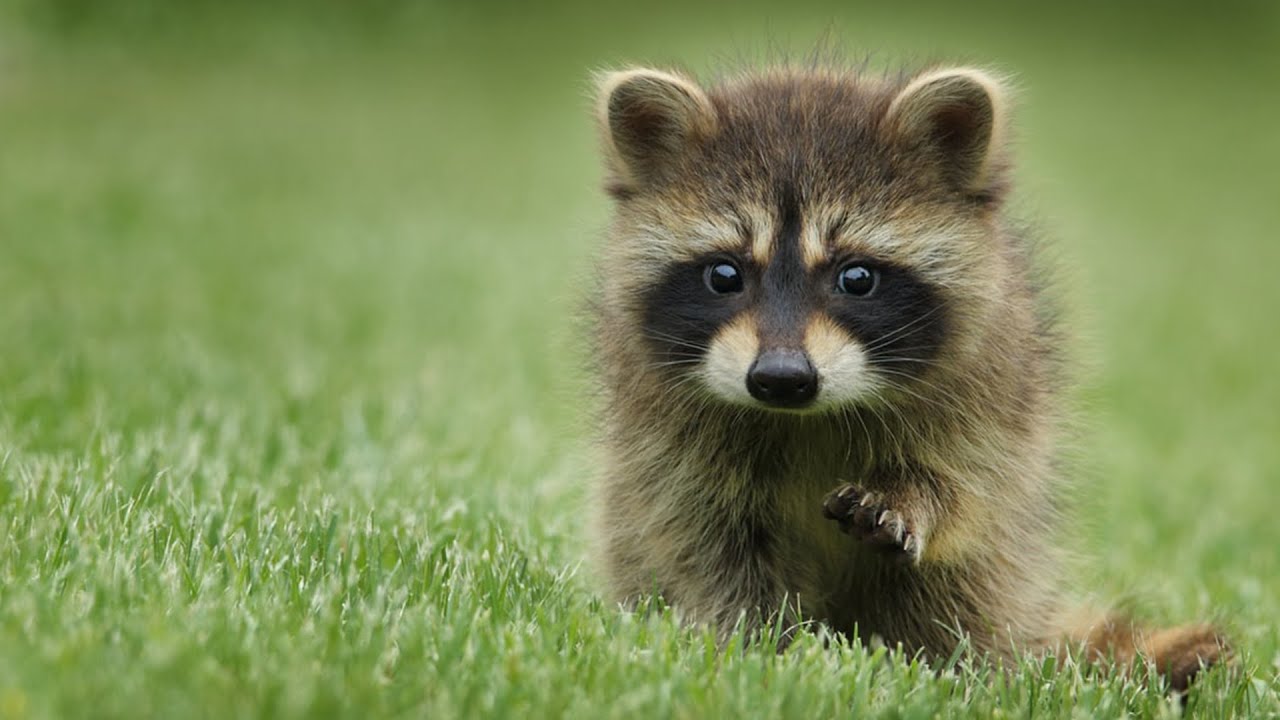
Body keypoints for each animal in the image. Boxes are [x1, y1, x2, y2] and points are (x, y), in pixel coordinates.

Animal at [586, 62, 1229, 690]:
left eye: (857, 278)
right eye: (724, 275)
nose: (781, 378)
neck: (808, 417)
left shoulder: (993, 385)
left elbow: (968, 485)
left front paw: (913, 497)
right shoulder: (666, 437)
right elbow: (704, 541)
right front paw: (760, 646)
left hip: (1007, 572)